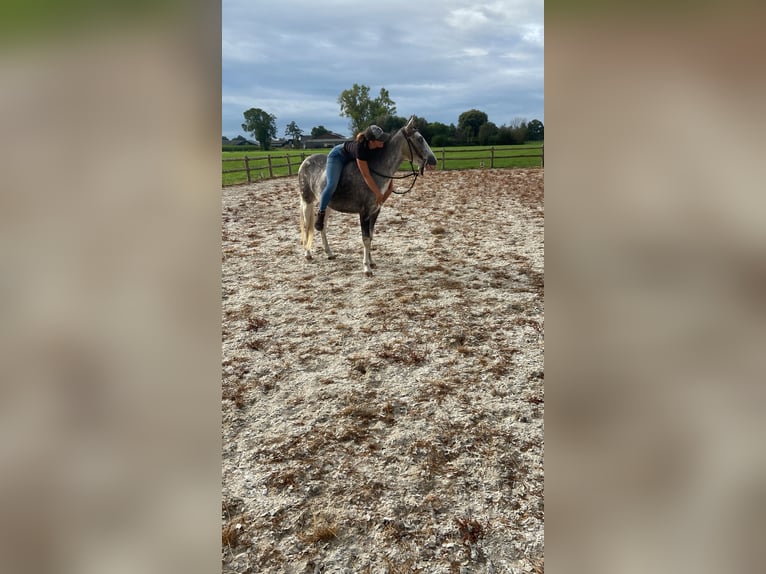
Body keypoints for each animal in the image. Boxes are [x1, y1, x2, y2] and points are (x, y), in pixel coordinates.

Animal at [296, 116, 436, 278]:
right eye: (419, 139)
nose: (433, 161)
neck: (375, 171)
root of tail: (305, 161)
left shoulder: (375, 211)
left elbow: (371, 236)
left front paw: (372, 262)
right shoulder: (364, 213)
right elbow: (366, 239)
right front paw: (366, 268)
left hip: (327, 205)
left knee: (322, 226)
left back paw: (329, 253)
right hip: (307, 201)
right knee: (307, 225)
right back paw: (307, 254)